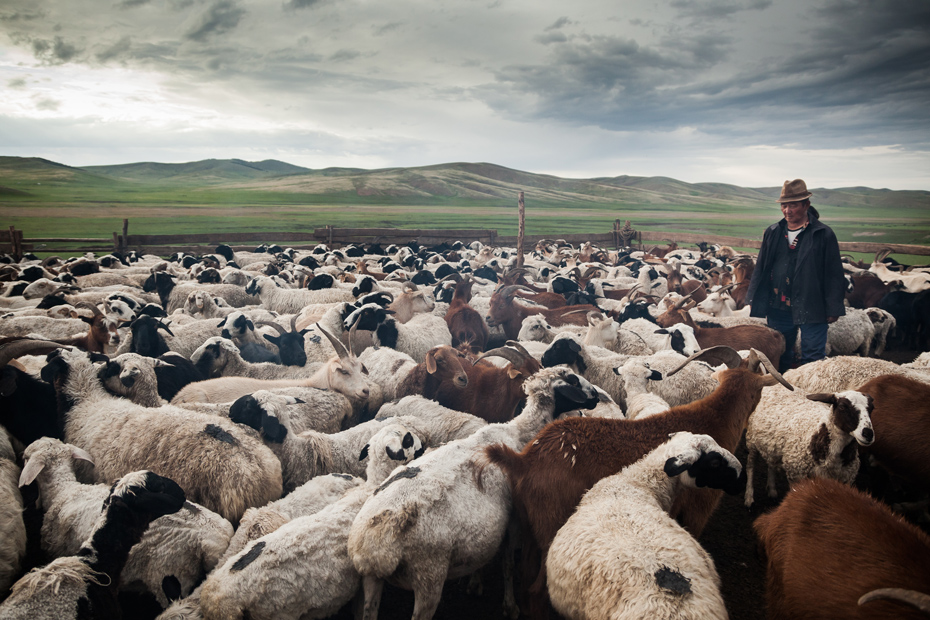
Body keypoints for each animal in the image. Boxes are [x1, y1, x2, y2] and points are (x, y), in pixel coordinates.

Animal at [744, 388, 872, 508]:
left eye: (871, 408)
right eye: (842, 407)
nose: (868, 433)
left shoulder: (843, 481)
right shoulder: (796, 474)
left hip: (772, 444)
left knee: (771, 462)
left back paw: (772, 490)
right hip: (751, 439)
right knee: (750, 465)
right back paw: (749, 496)